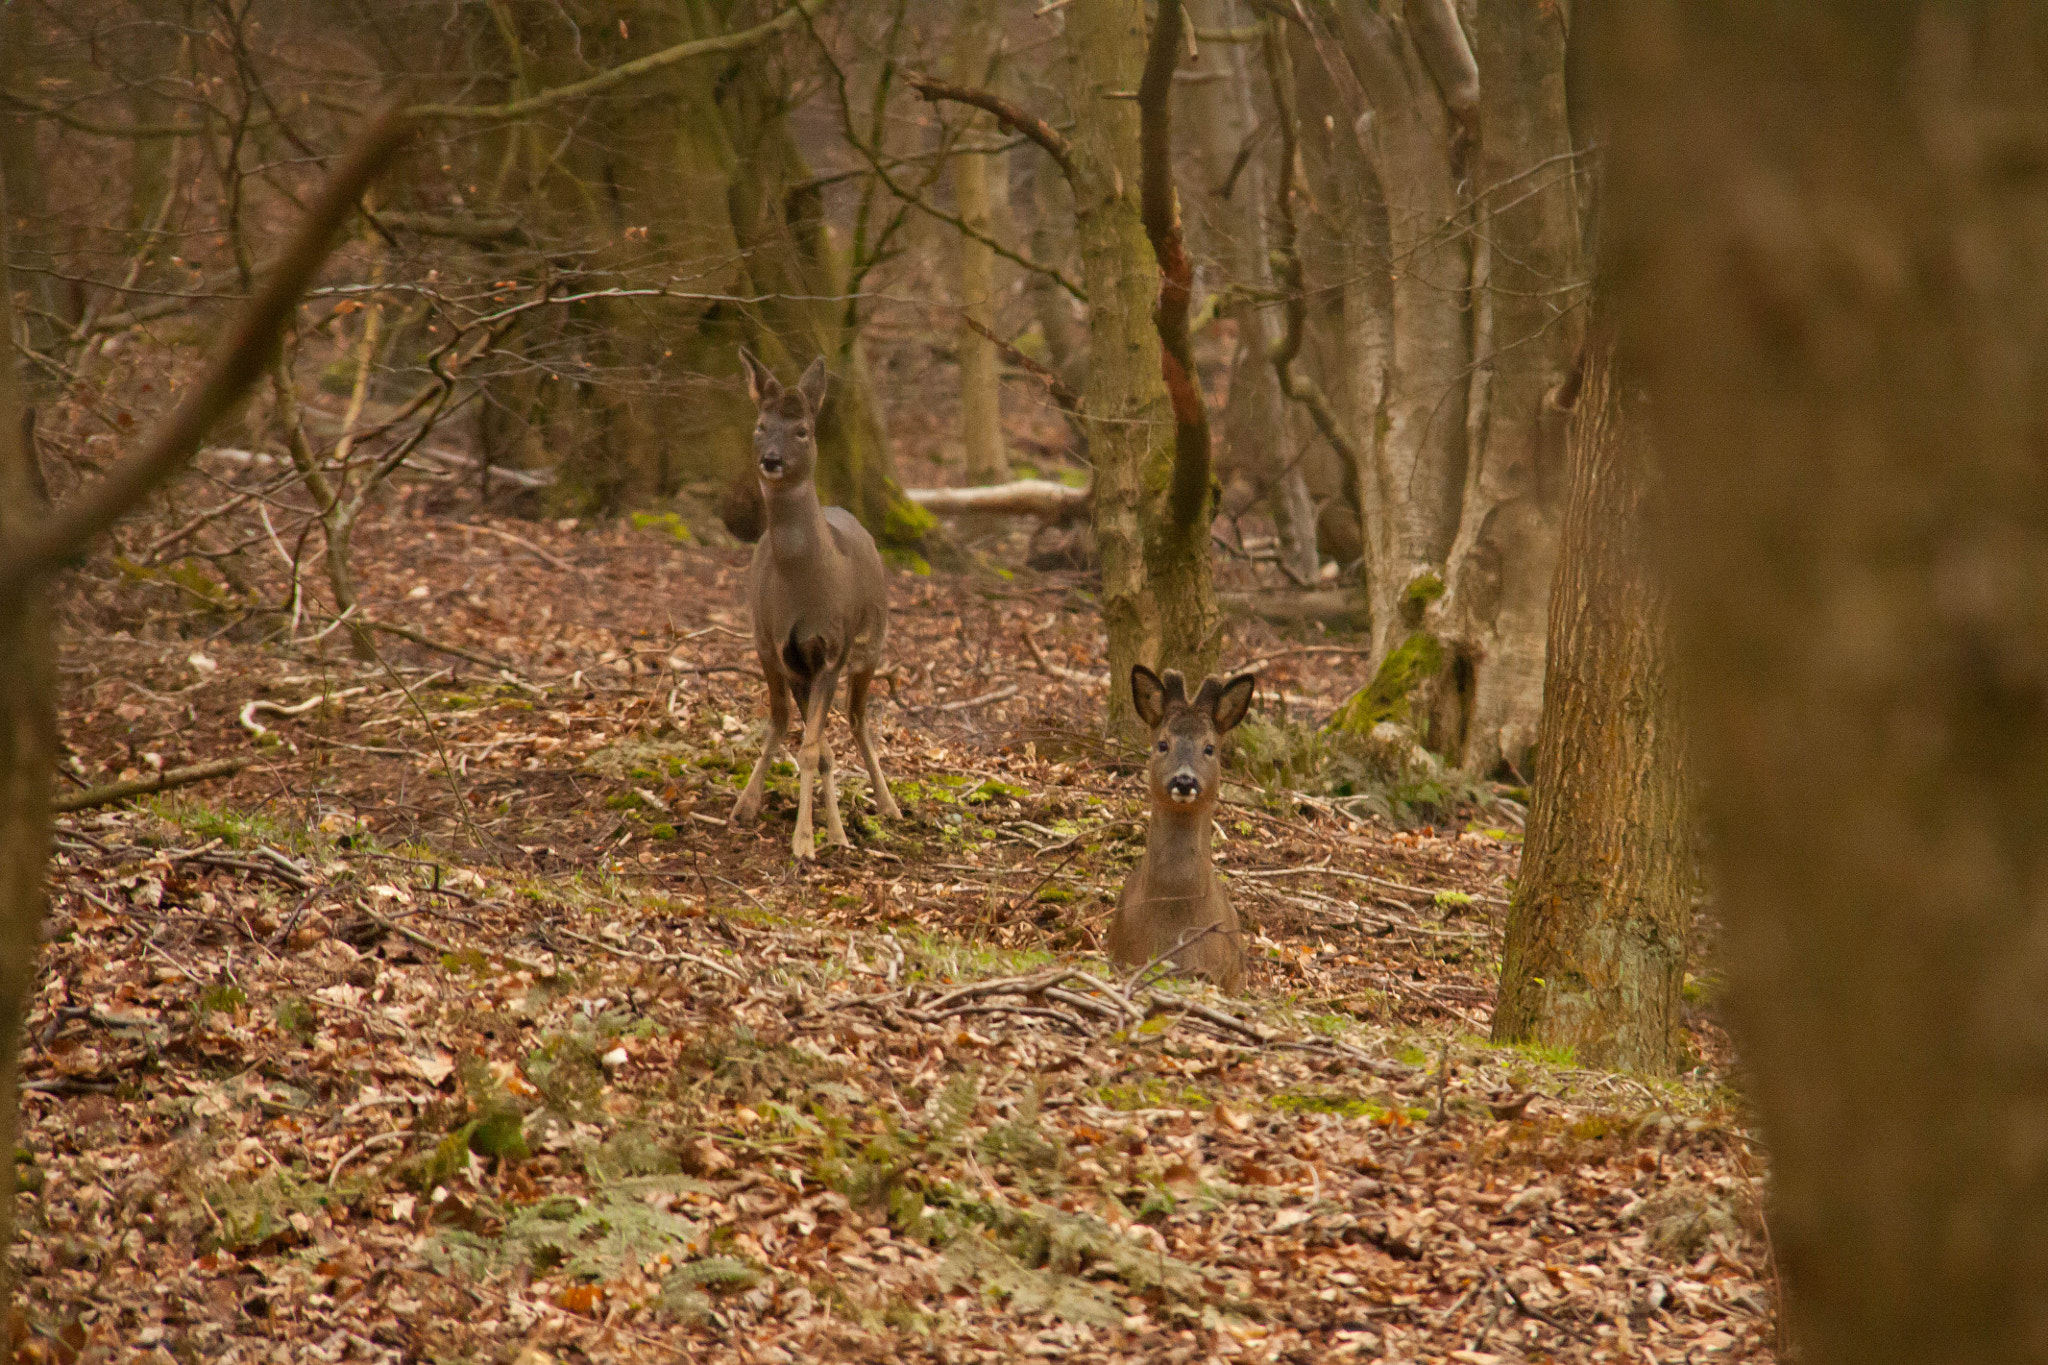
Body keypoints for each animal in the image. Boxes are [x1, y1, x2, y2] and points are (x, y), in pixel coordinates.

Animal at [728, 348, 901, 860]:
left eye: (802, 429)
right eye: (761, 425)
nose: (771, 459)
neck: (809, 589)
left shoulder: (833, 649)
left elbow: (816, 746)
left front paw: (812, 839)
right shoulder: (786, 652)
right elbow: (813, 746)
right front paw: (815, 835)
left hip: (871, 648)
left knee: (859, 718)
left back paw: (889, 805)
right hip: (764, 646)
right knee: (782, 720)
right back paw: (747, 804)